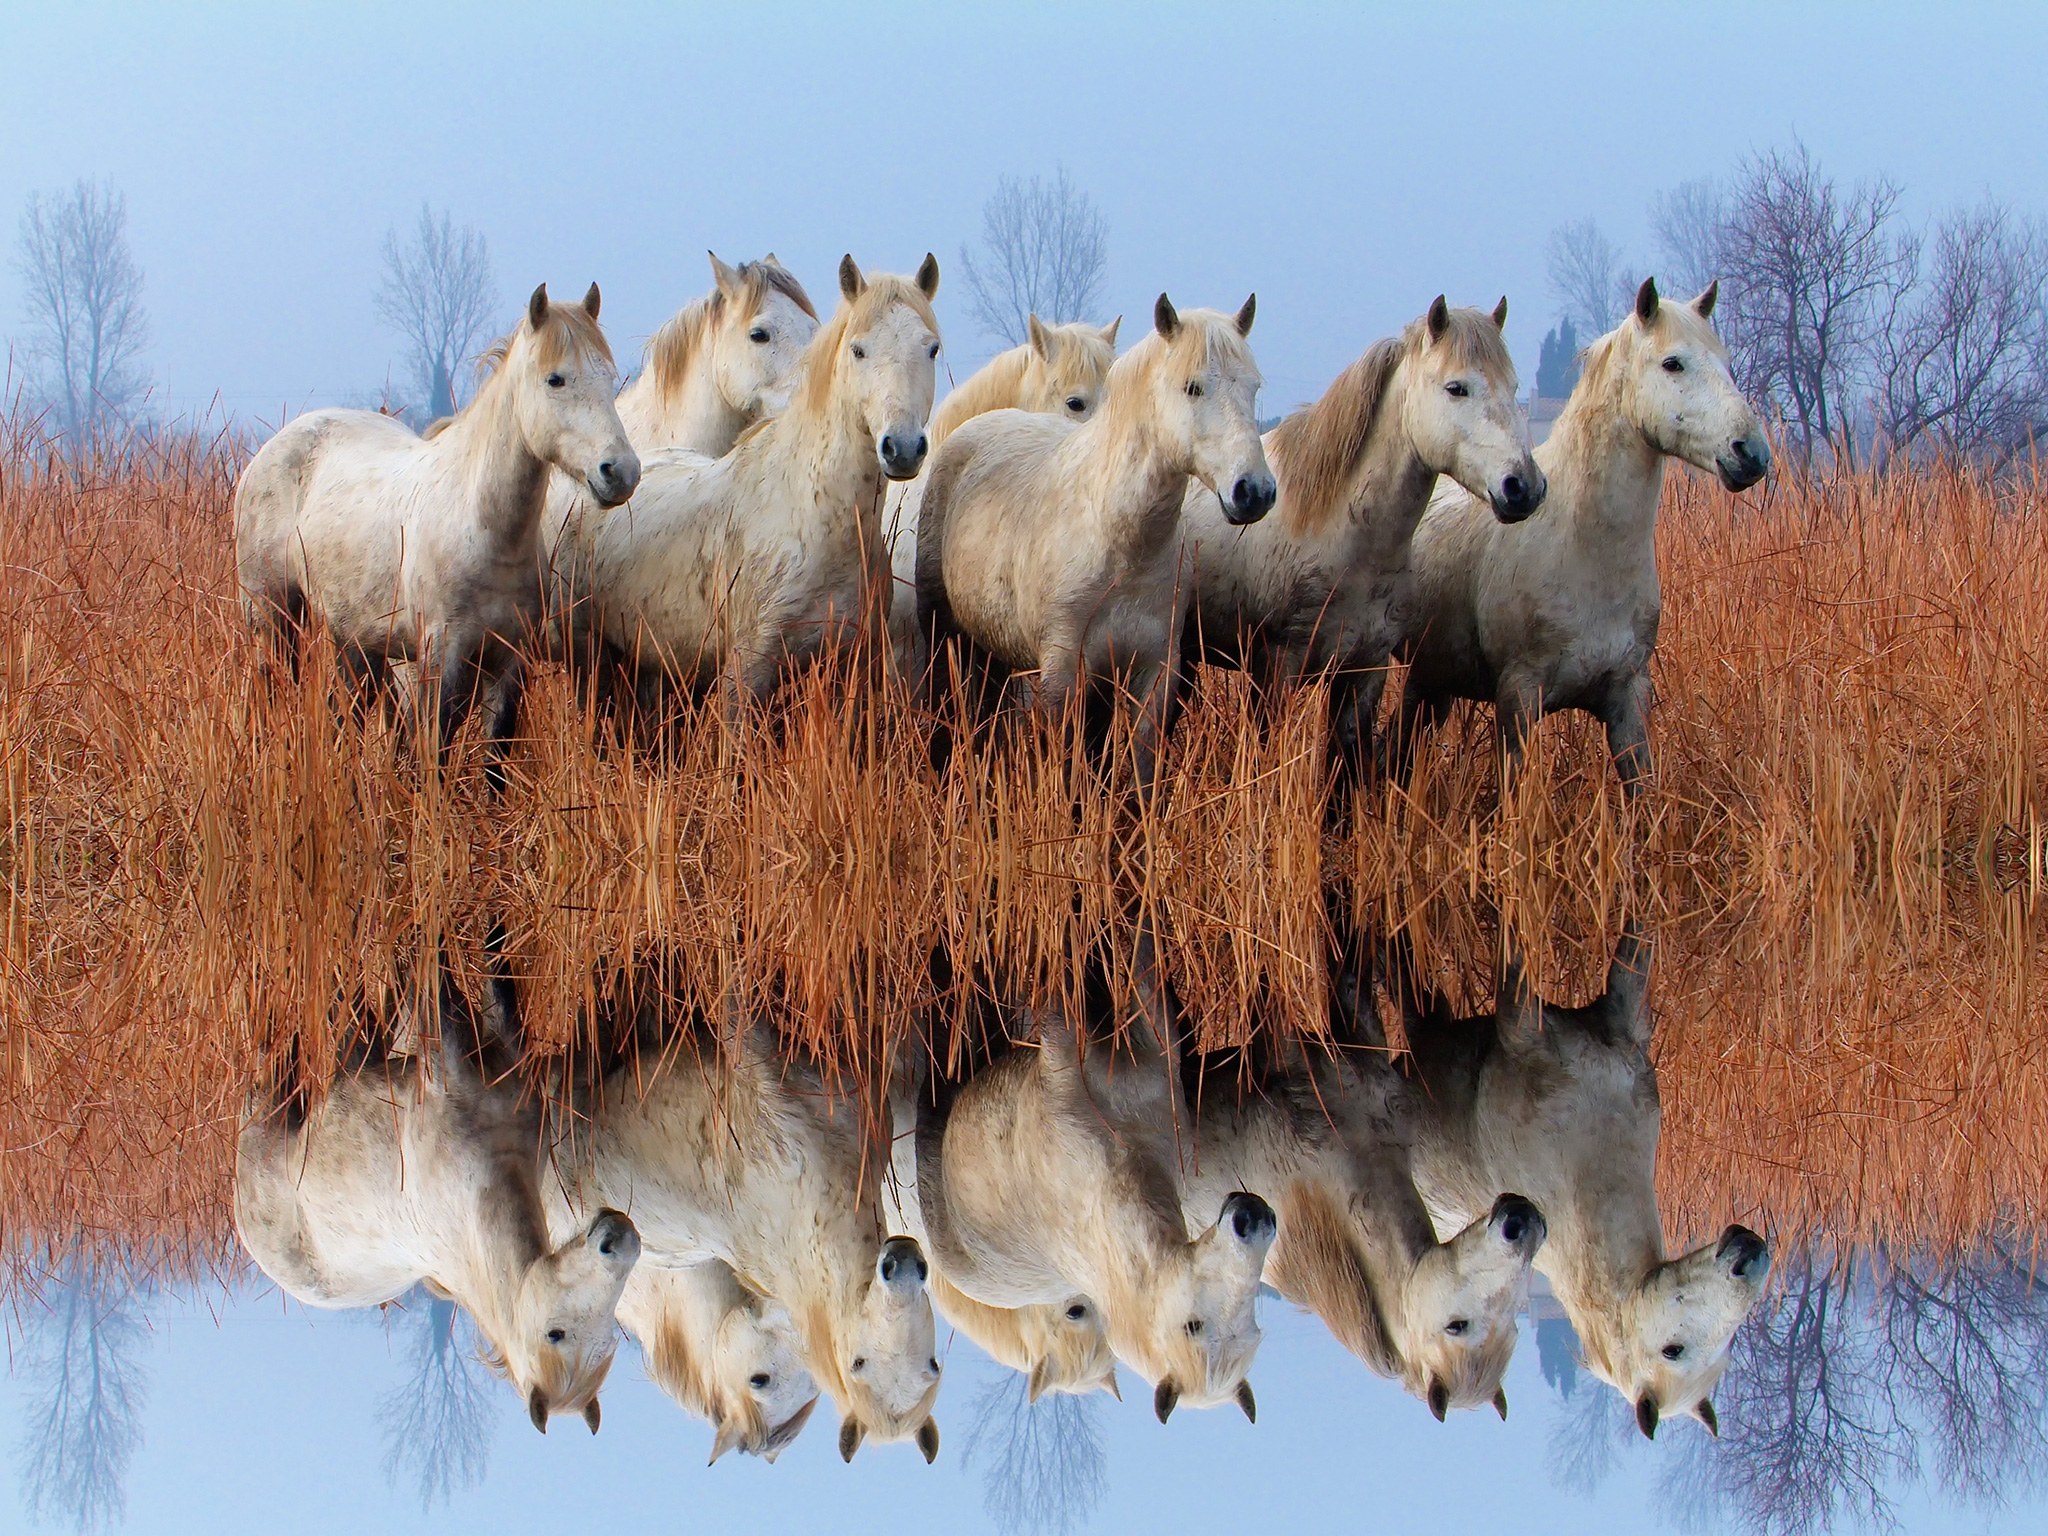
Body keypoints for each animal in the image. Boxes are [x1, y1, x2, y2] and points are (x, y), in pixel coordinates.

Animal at [234, 283, 637, 786]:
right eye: (555, 380)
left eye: (609, 376)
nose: (620, 472)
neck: (481, 527)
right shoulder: (441, 658)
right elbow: (436, 753)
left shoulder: (508, 661)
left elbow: (495, 760)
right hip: (273, 618)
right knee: (276, 695)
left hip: (356, 639)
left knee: (348, 712)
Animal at [910, 936, 1277, 1422]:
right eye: (1195, 1326)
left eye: (1251, 1330)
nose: (1253, 1218)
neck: (1122, 1156)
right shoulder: (1099, 1058)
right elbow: (1117, 977)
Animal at [915, 295, 1275, 787]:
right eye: (1193, 387)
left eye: (1253, 388)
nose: (1254, 491)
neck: (1119, 541)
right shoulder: (1063, 674)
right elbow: (1068, 771)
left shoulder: (1154, 673)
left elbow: (1142, 772)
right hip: (945, 638)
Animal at [1176, 297, 1542, 788]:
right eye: (1456, 388)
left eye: (1514, 387)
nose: (1523, 487)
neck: (1342, 537)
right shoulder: (1276, 667)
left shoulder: (1366, 671)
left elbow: (1348, 764)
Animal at [1396, 278, 1772, 791]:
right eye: (1672, 362)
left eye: (1725, 361)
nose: (1751, 453)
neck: (1585, 549)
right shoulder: (1519, 697)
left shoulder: (1628, 698)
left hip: (1431, 679)